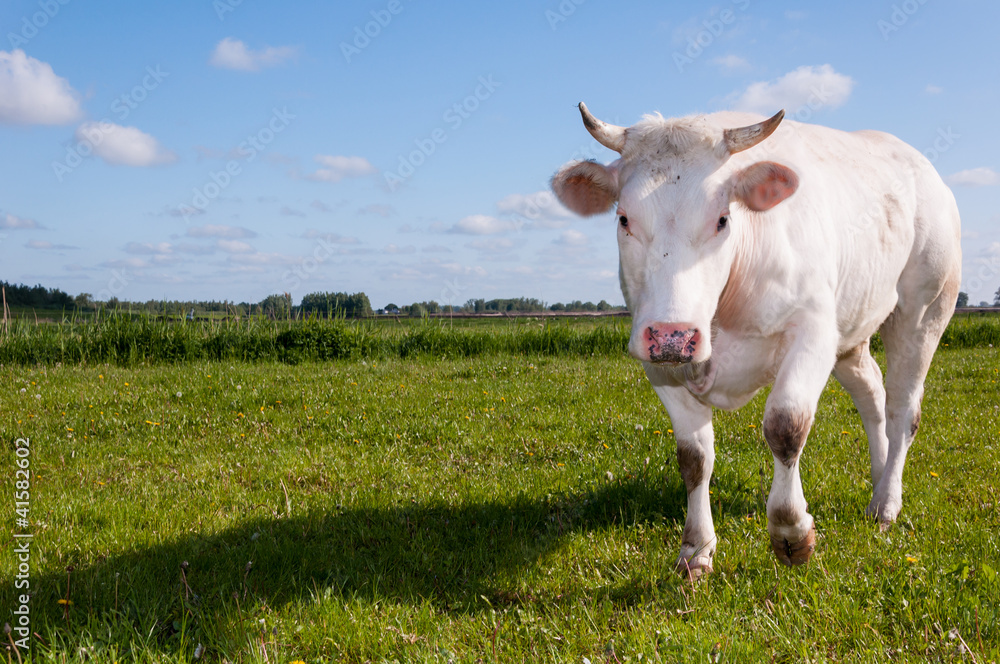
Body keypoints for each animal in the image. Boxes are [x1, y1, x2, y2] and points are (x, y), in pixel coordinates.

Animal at [556, 102, 960, 576]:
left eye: (722, 219)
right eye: (623, 218)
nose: (674, 335)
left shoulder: (813, 330)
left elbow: (786, 426)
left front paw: (792, 533)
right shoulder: (659, 363)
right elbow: (694, 457)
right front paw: (696, 550)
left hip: (924, 310)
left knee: (903, 409)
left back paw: (887, 504)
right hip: (853, 328)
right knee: (872, 395)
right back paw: (878, 483)